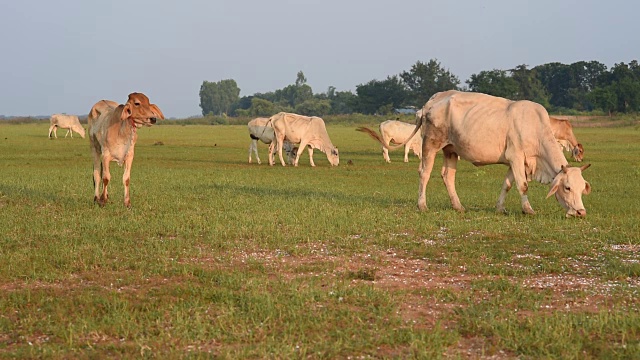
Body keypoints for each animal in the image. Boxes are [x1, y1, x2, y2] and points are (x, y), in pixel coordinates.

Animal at [358, 91, 592, 218]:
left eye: (582, 187)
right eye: (567, 187)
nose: (581, 212)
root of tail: (433, 100)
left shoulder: (513, 162)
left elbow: (507, 184)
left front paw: (500, 208)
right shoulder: (517, 157)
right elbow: (522, 185)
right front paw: (528, 209)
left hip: (451, 150)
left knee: (447, 176)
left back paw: (458, 206)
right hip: (431, 144)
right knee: (424, 173)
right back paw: (422, 205)